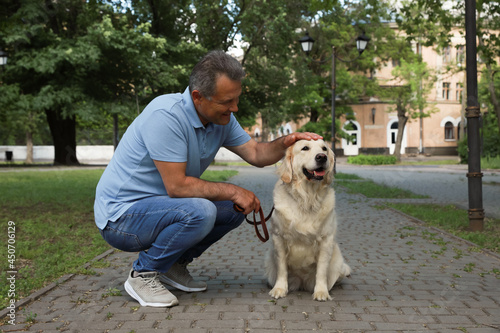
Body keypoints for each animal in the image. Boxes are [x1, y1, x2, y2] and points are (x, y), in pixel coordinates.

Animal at [264, 139, 350, 300]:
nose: (322, 157)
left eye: (324, 148)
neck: (307, 198)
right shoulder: (278, 237)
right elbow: (282, 267)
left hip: (337, 262)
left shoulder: (326, 240)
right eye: (305, 148)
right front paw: (279, 289)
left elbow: (321, 270)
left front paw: (321, 292)